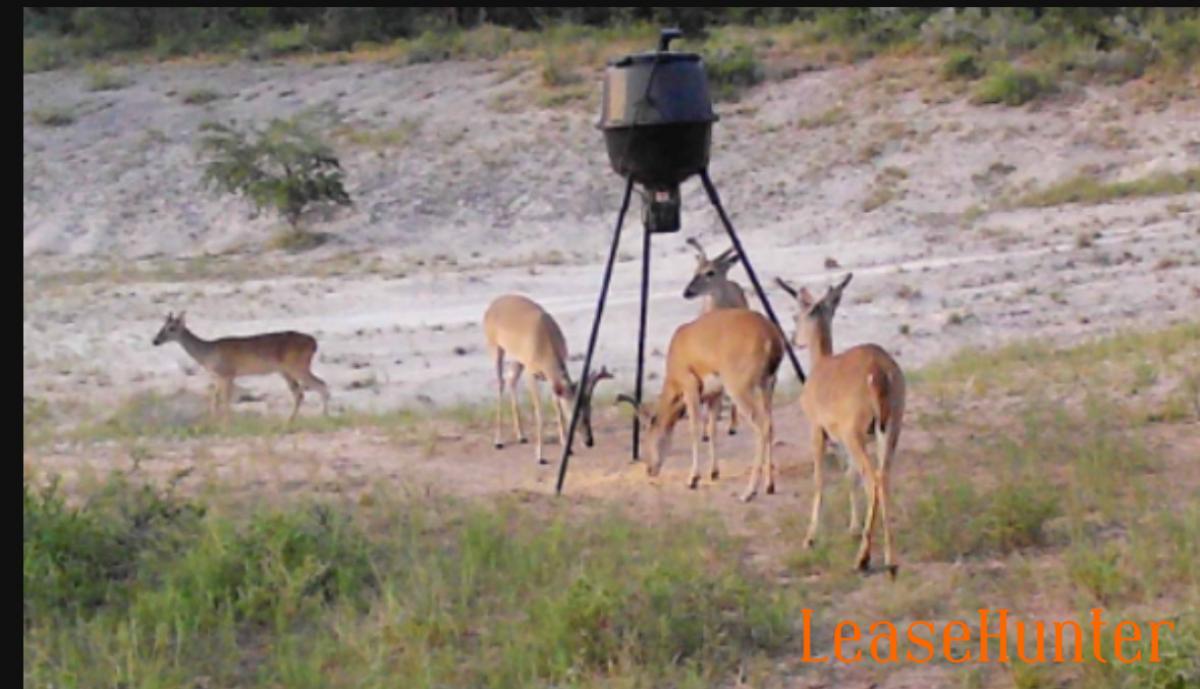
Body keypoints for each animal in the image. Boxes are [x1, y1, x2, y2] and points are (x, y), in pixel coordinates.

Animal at [151, 311, 330, 424]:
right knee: (301, 393)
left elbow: (225, 400)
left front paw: (226, 424)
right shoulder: (219, 376)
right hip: (286, 370)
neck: (207, 354)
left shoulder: (228, 373)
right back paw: (291, 421)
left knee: (320, 385)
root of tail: (314, 343)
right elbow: (214, 399)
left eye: (172, 328)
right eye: (161, 327)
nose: (155, 341)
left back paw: (323, 417)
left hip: (297, 366)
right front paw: (212, 422)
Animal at [483, 294, 612, 465]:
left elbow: (557, 405)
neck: (545, 342)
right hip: (496, 347)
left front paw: (567, 447)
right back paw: (498, 441)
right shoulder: (531, 373)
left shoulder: (550, 377)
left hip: (518, 359)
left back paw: (521, 436)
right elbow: (539, 411)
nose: (589, 441)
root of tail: (493, 304)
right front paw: (540, 456)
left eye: (590, 409)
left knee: (511, 380)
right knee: (500, 383)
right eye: (574, 413)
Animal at [618, 308, 783, 500]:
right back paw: (769, 486)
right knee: (771, 425)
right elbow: (712, 430)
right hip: (767, 387)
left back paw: (748, 492)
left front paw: (693, 479)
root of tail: (769, 334)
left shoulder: (690, 389)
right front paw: (714, 472)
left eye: (647, 433)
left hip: (740, 390)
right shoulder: (715, 395)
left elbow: (694, 429)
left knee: (762, 426)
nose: (650, 469)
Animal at [775, 273, 906, 578]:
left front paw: (810, 538)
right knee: (883, 477)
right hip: (889, 429)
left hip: (855, 433)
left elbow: (820, 479)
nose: (793, 339)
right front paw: (853, 528)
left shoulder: (817, 430)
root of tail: (879, 371)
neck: (821, 365)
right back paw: (890, 558)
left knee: (873, 480)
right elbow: (849, 476)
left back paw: (864, 559)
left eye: (797, 314)